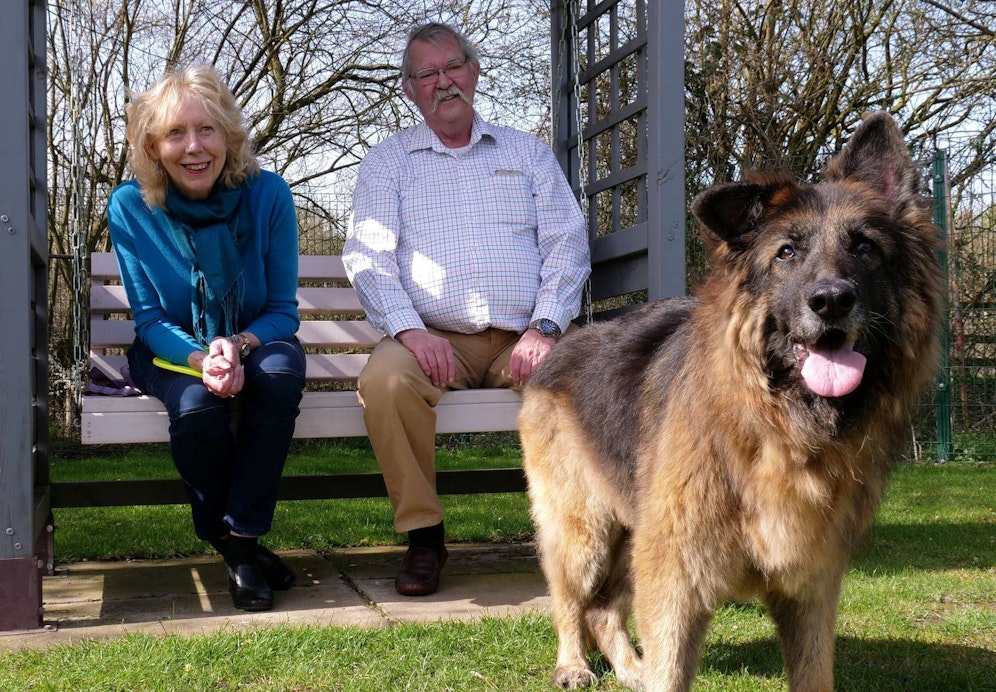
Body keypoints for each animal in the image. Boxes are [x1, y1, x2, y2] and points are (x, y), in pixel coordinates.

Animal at [520, 111, 940, 688]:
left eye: (864, 247)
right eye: (787, 252)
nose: (831, 300)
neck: (778, 427)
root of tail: (563, 343)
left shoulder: (809, 588)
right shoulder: (674, 579)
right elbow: (669, 671)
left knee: (603, 610)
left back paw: (631, 669)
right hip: (585, 531)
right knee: (569, 600)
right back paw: (573, 665)